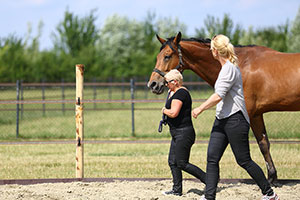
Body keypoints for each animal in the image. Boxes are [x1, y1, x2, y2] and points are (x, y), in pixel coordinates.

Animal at [149, 31, 300, 183]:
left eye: (167, 56)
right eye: (157, 57)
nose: (153, 84)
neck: (240, 64)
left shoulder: (251, 115)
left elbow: (262, 145)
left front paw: (270, 179)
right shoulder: (257, 115)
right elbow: (264, 143)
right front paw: (272, 177)